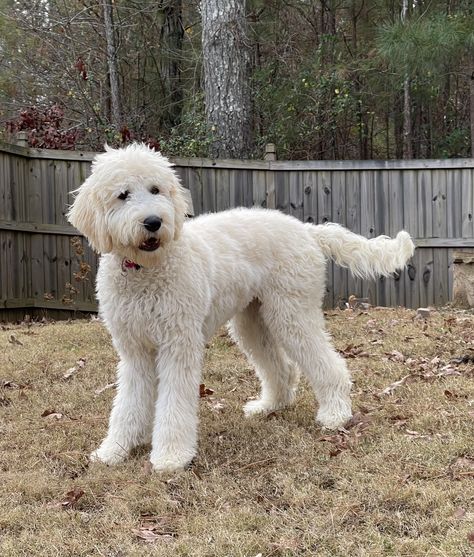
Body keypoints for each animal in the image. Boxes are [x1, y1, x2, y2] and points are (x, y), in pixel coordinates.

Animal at [67, 143, 414, 470]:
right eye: (122, 195)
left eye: (155, 189)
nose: (154, 222)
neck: (146, 271)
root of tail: (306, 230)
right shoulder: (134, 350)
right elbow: (127, 403)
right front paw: (114, 450)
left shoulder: (178, 344)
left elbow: (174, 404)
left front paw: (171, 456)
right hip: (253, 320)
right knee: (282, 368)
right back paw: (270, 406)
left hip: (292, 312)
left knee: (328, 365)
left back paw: (335, 414)